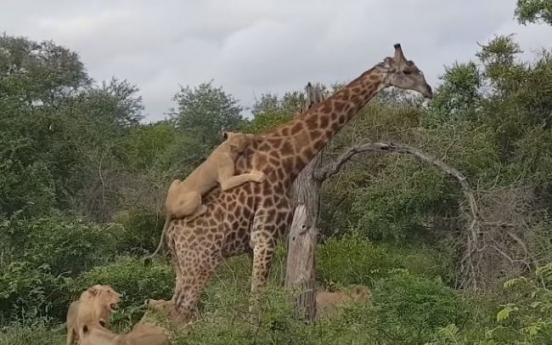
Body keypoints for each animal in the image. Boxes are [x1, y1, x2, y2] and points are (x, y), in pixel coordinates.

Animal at [166, 43, 434, 320]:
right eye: (407, 70)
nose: (429, 90)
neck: (288, 162)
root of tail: (172, 234)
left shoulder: (256, 243)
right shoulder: (265, 235)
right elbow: (257, 304)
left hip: (181, 266)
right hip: (202, 263)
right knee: (181, 312)